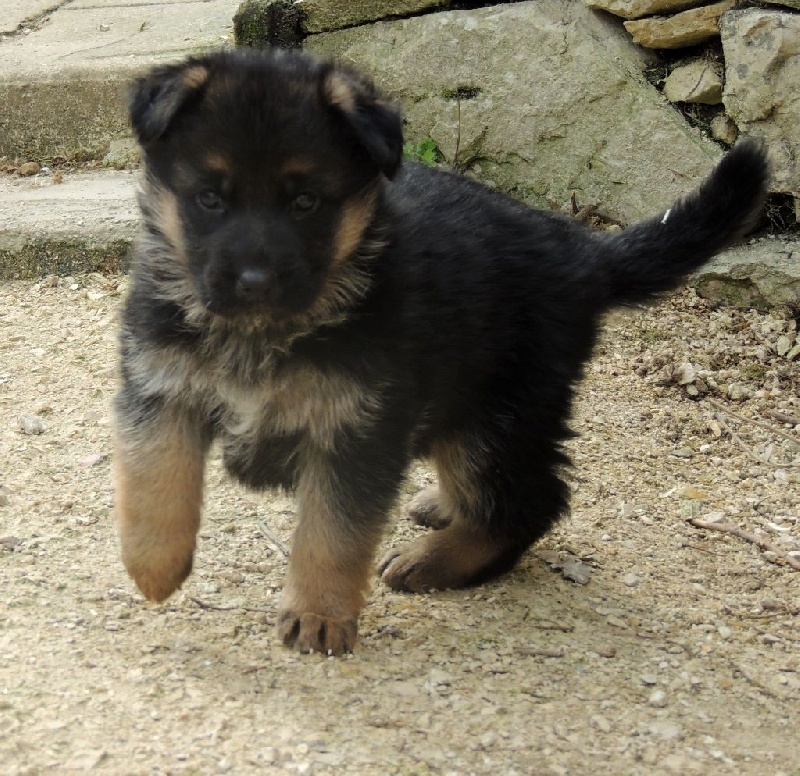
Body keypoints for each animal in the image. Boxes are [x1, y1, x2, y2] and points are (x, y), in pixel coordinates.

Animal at [115, 47, 772, 656]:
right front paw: (155, 568)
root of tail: (586, 255)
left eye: (305, 203)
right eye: (209, 198)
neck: (268, 330)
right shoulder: (160, 388)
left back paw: (435, 559)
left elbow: (332, 532)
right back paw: (441, 508)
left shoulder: (358, 430)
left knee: (532, 502)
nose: (254, 283)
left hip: (499, 418)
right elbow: (154, 479)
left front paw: (320, 614)